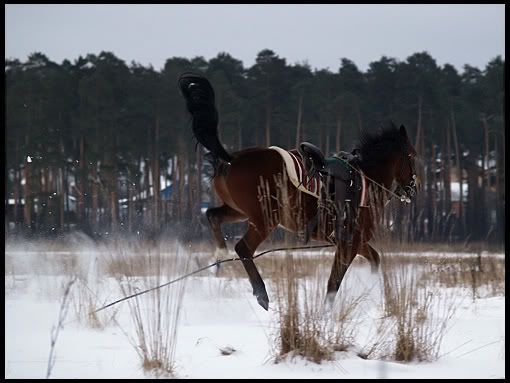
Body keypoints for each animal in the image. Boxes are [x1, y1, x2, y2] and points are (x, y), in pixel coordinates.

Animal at [177, 73, 416, 312]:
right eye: (412, 155)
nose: (412, 188)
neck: (364, 183)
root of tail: (231, 158)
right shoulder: (349, 244)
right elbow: (333, 283)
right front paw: (326, 313)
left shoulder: (356, 243)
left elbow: (374, 260)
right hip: (265, 219)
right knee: (243, 248)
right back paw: (261, 293)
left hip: (240, 211)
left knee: (213, 216)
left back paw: (219, 257)